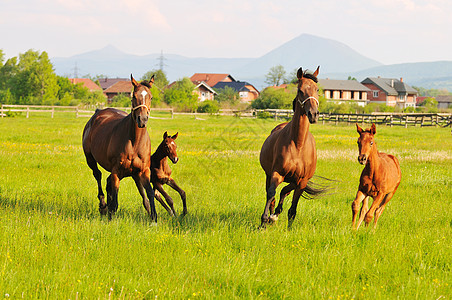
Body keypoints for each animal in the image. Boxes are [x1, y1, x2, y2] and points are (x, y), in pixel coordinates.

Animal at [82, 74, 158, 221]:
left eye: (151, 97)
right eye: (134, 96)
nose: (142, 119)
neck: (134, 142)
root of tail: (97, 113)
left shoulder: (143, 171)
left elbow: (150, 194)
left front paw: (154, 218)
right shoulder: (117, 171)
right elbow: (115, 201)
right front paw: (110, 215)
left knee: (107, 182)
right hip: (90, 159)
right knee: (98, 175)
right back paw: (103, 206)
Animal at [258, 65, 322, 227]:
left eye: (317, 89)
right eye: (300, 90)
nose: (313, 114)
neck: (298, 145)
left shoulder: (301, 181)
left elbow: (292, 209)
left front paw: (289, 227)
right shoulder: (277, 174)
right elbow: (271, 194)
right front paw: (263, 222)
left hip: (294, 181)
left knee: (285, 192)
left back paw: (276, 214)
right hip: (269, 175)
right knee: (273, 194)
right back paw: (272, 217)